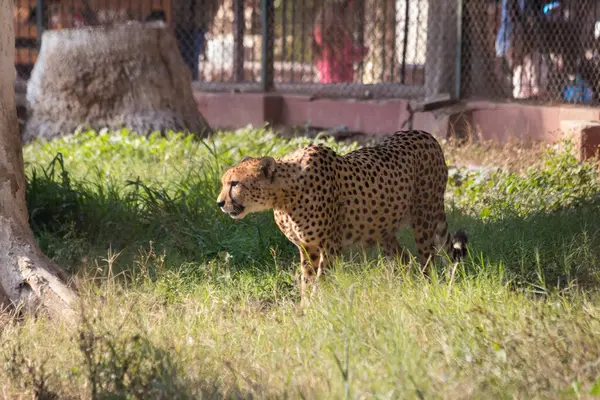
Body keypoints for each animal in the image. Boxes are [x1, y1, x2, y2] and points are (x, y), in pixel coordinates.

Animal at [217, 130, 468, 302]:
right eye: (224, 182)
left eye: (235, 184)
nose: (219, 203)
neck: (284, 195)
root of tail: (425, 135)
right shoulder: (307, 247)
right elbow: (307, 278)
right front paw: (305, 308)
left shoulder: (330, 245)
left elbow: (320, 279)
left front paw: (315, 305)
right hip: (381, 228)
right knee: (403, 257)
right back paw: (399, 289)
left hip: (423, 218)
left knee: (427, 259)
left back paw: (426, 289)